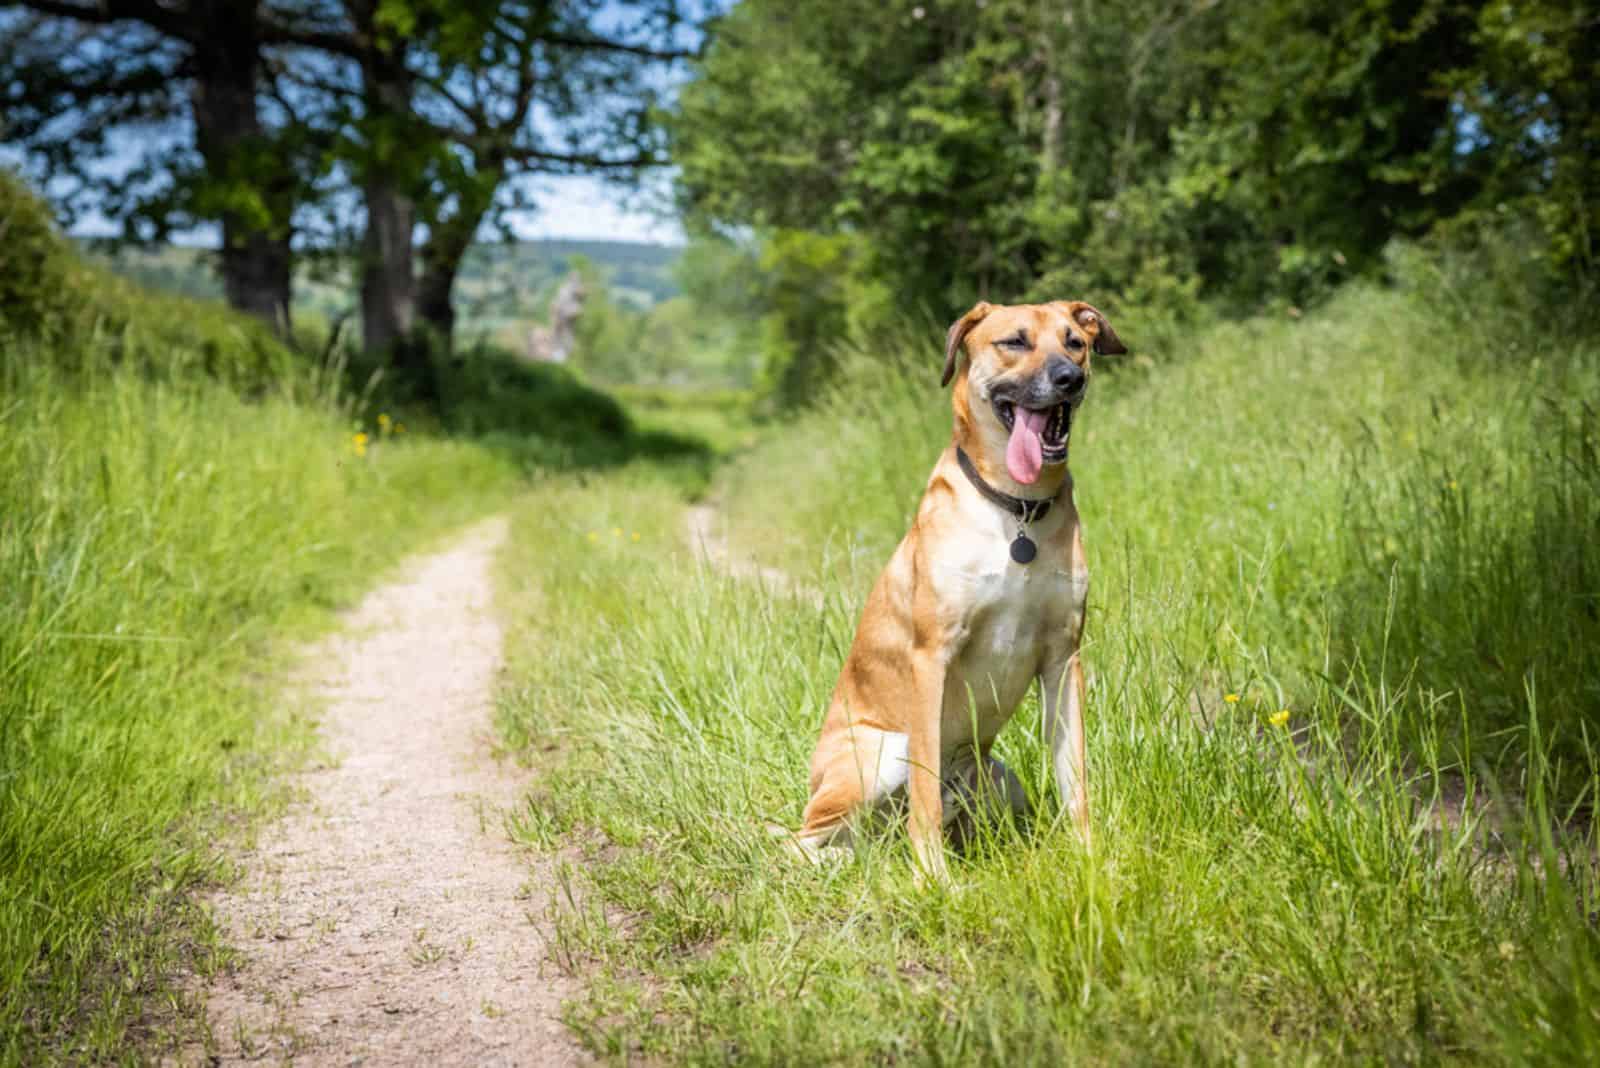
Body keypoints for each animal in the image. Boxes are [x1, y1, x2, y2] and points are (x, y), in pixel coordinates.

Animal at [780, 298, 1120, 876]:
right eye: (1015, 342)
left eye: (1075, 342)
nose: (1069, 379)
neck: (1017, 509)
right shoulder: (932, 656)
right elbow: (924, 801)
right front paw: (933, 878)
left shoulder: (1064, 658)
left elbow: (1075, 779)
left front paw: (1088, 859)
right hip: (876, 757)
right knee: (799, 842)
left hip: (1000, 778)